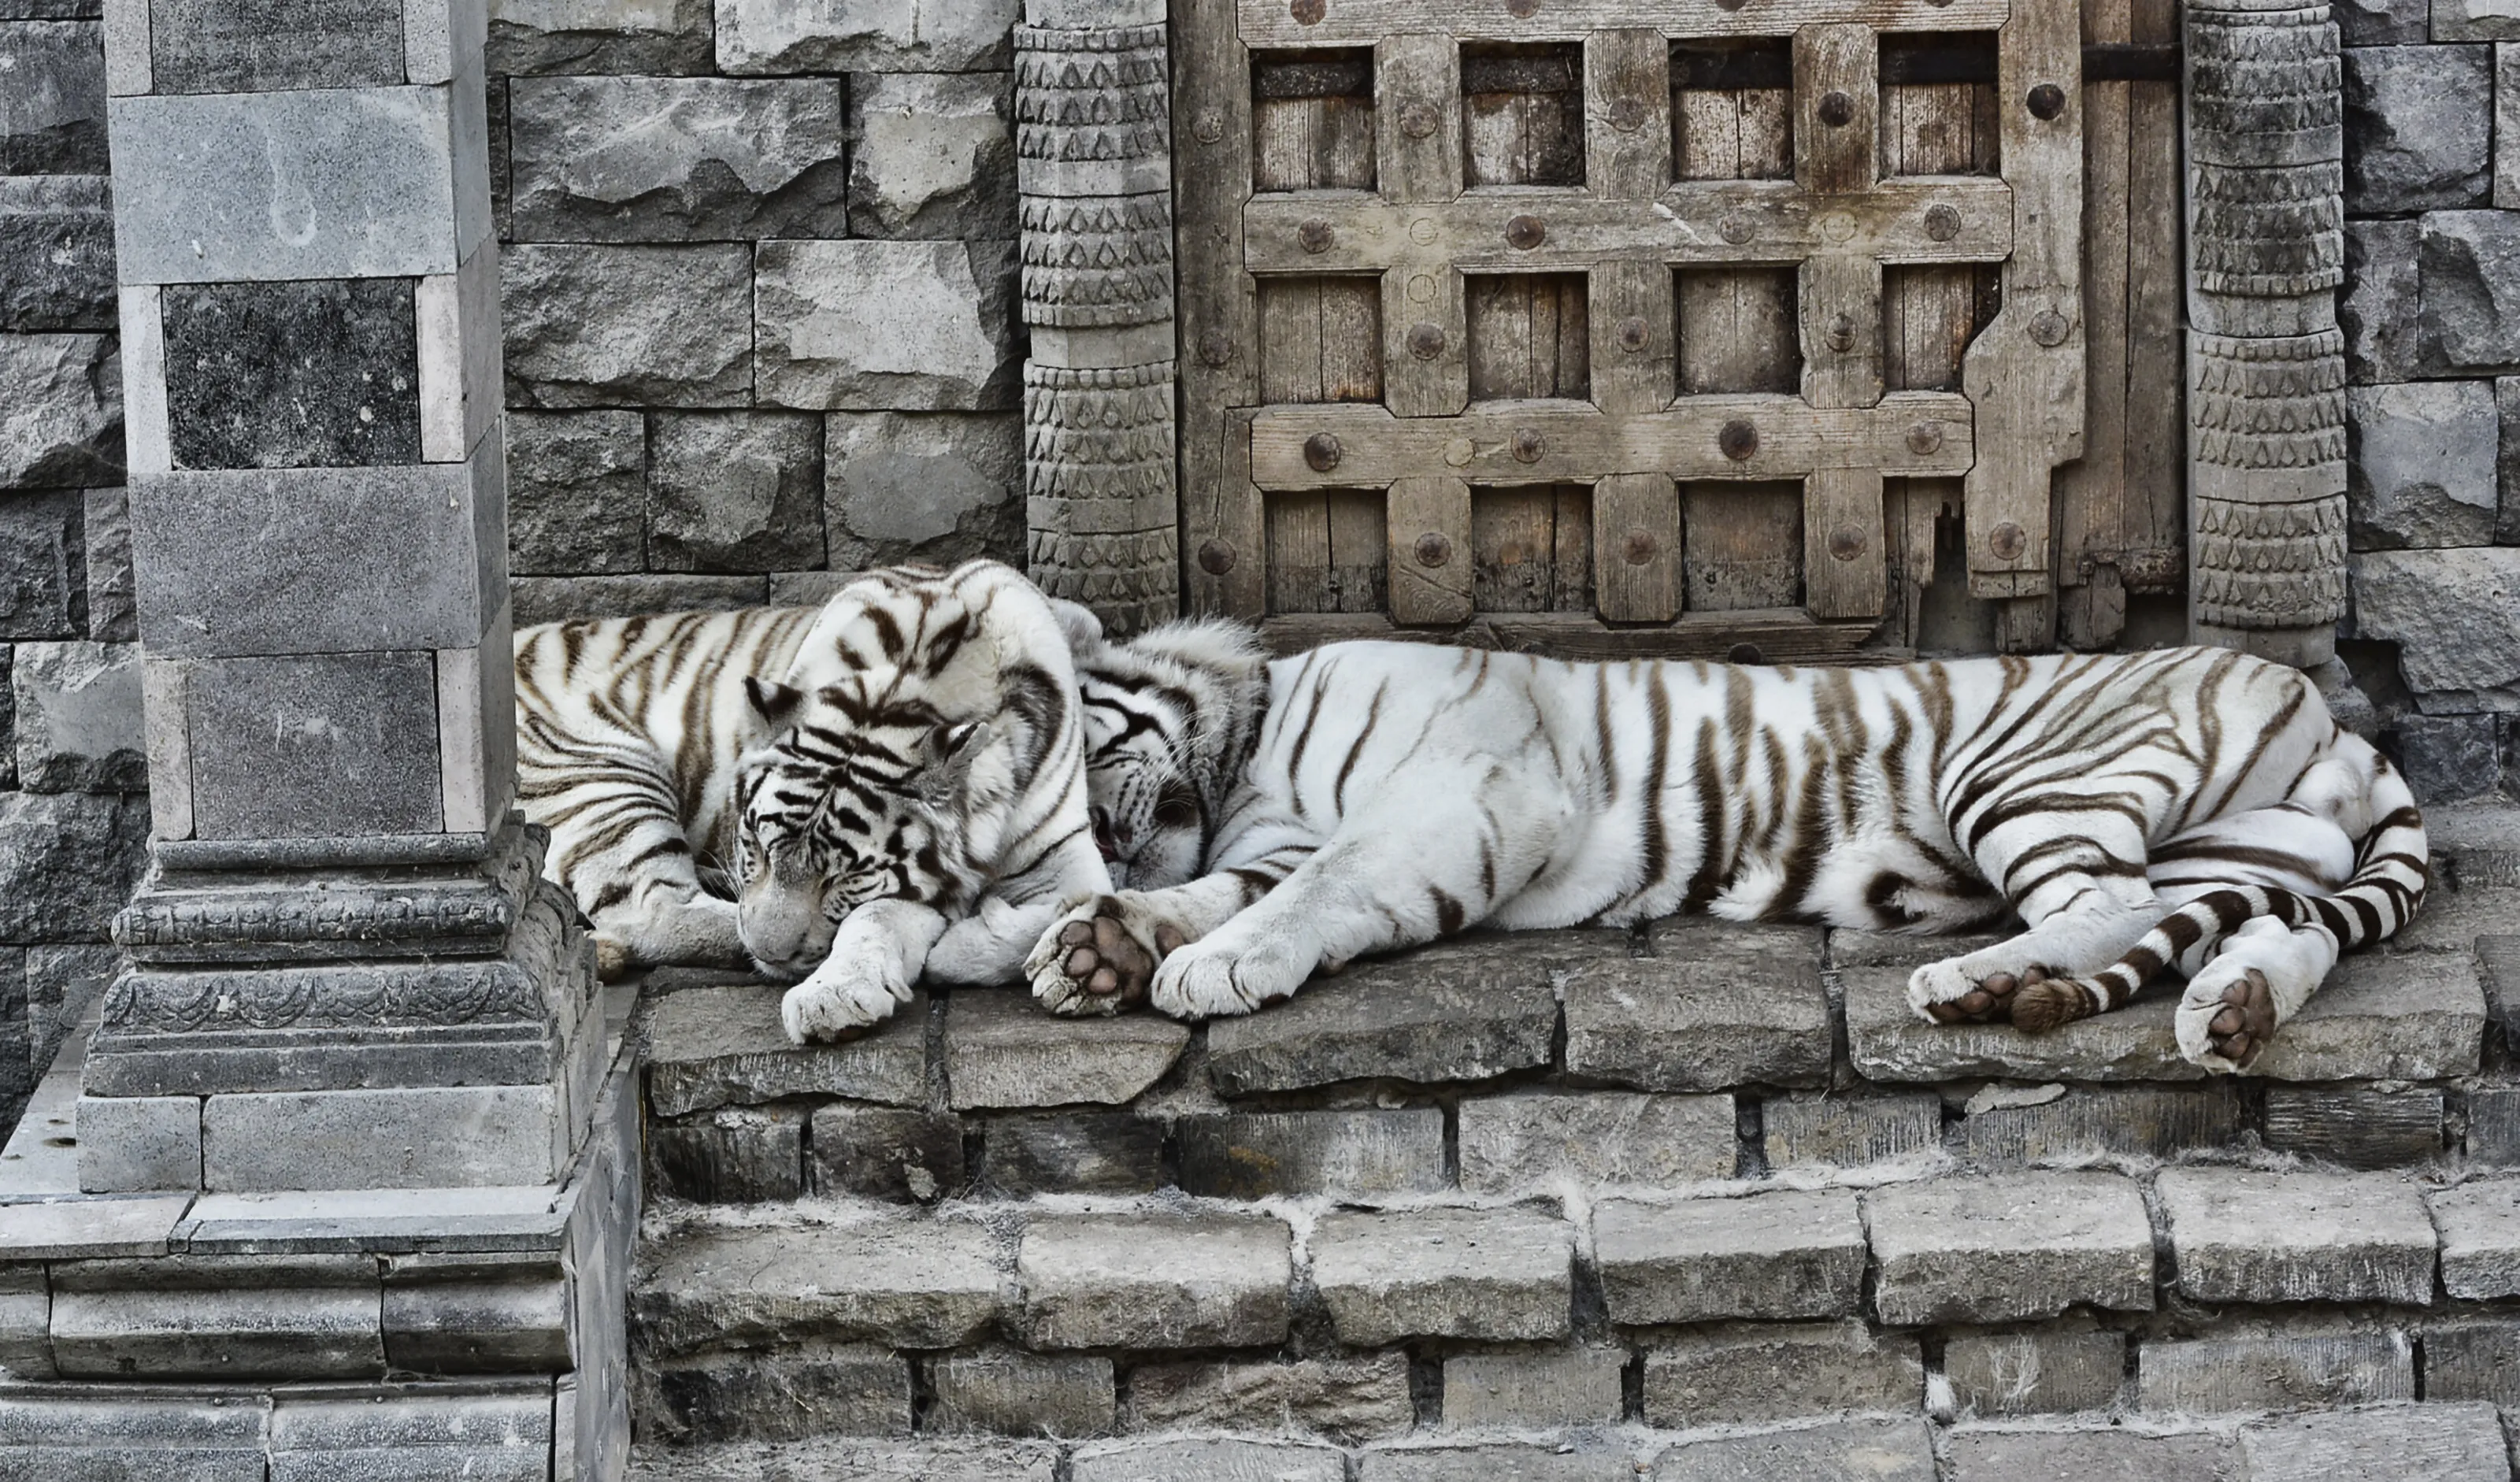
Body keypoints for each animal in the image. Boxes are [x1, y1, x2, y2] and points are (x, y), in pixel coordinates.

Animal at [513, 560, 1109, 1042]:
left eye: (844, 877)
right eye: (755, 844)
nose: (768, 953)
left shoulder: (1064, 855)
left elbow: (1068, 905)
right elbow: (887, 912)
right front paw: (844, 991)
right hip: (603, 774)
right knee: (651, 911)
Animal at [1031, 621, 2427, 1073]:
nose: (1101, 849)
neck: (1245, 755)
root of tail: (2325, 716)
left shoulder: (1472, 793)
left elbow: (1312, 886)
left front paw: (1203, 964)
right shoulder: (1270, 841)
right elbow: (1224, 887)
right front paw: (1100, 947)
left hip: (2033, 774)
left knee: (2112, 898)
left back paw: (1967, 981)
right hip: (2250, 853)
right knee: (2268, 932)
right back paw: (2229, 1012)